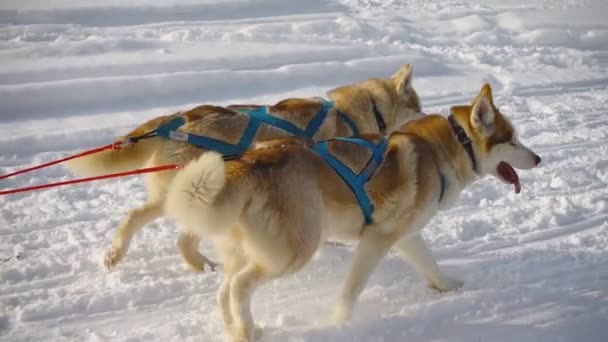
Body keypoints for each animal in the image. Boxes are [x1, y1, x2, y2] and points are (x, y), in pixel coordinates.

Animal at [65, 64, 422, 272]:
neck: (353, 113)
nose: (427, 116)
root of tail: (179, 119)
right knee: (134, 217)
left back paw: (203, 266)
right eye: (417, 107)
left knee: (184, 239)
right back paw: (115, 254)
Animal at [165, 83, 540, 342]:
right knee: (241, 286)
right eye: (513, 140)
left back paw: (237, 329)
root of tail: (254, 162)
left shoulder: (405, 236)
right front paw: (337, 323)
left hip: (248, 250)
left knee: (224, 290)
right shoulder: (376, 240)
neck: (442, 151)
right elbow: (351, 290)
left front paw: (446, 286)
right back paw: (246, 330)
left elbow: (429, 264)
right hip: (294, 251)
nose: (538, 158)